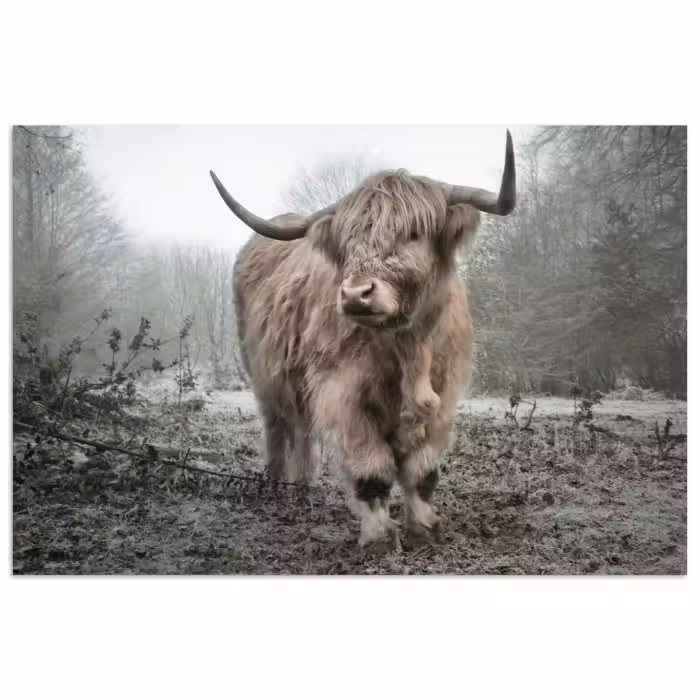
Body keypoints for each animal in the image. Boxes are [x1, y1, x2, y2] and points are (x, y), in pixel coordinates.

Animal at [210, 131, 516, 552]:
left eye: (414, 233)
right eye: (348, 241)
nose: (356, 294)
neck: (407, 347)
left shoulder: (445, 394)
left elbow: (422, 471)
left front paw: (424, 528)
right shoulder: (342, 392)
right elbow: (372, 469)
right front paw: (379, 538)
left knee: (302, 429)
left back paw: (303, 486)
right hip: (262, 372)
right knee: (278, 426)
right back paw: (277, 485)